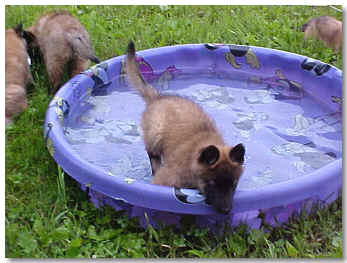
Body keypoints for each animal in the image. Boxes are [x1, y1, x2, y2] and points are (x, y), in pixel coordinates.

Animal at [126, 41, 246, 214]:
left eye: (233, 184)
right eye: (213, 183)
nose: (226, 210)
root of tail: (158, 97)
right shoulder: (166, 179)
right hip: (156, 132)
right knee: (152, 153)